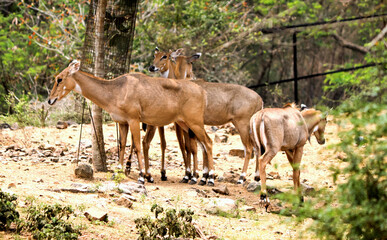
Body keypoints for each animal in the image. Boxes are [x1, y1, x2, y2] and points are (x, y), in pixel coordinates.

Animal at [47, 59, 215, 184]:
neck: (116, 90)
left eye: (59, 79)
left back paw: (209, 178)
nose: (50, 100)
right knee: (200, 145)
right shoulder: (123, 123)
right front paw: (117, 172)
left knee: (208, 142)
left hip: (194, 123)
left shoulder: (134, 120)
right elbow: (122, 145)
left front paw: (141, 176)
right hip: (186, 124)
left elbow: (138, 146)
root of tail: (202, 91)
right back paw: (196, 177)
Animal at [149, 47, 264, 186]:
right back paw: (256, 177)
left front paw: (193, 176)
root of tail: (260, 99)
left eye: (165, 56)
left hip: (242, 124)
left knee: (248, 148)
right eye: (155, 55)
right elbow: (197, 147)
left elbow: (191, 147)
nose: (152, 67)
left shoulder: (187, 126)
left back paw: (241, 178)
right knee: (257, 148)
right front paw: (201, 176)